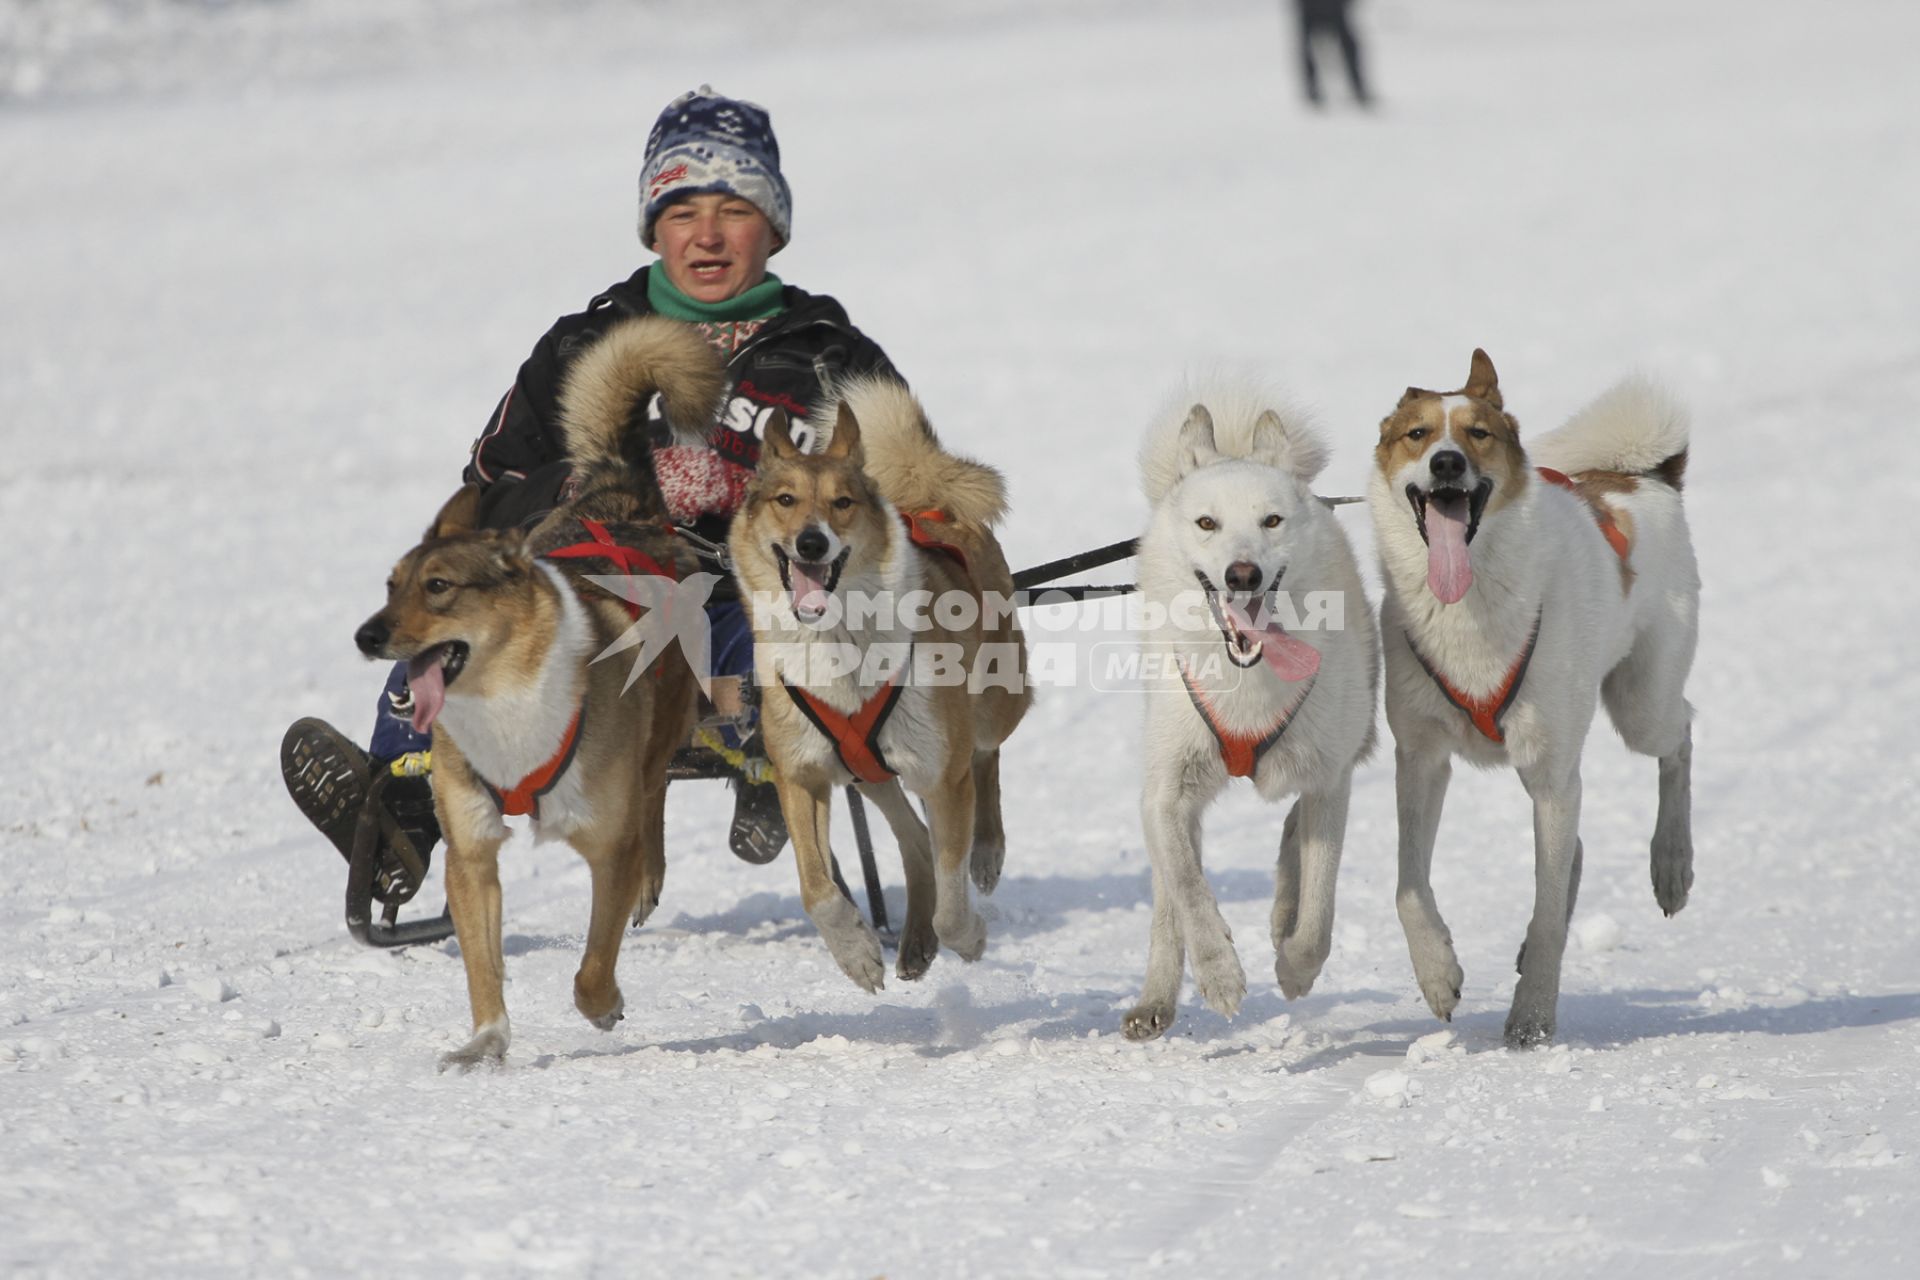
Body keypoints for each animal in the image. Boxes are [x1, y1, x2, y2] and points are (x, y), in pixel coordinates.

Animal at [357, 320, 721, 1074]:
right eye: (391, 585)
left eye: (440, 587)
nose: (365, 635)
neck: (507, 706)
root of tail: (622, 502)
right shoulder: (471, 849)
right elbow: (483, 965)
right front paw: (485, 1041)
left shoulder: (606, 846)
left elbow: (591, 966)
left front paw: (603, 1004)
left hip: (659, 733)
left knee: (655, 795)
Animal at [729, 385, 1036, 997]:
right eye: (784, 499)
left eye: (842, 502)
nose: (811, 542)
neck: (840, 645)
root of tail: (933, 503)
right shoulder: (801, 774)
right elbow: (818, 890)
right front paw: (855, 952)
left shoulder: (943, 779)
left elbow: (952, 904)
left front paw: (969, 936)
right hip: (866, 774)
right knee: (914, 840)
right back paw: (915, 938)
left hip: (991, 706)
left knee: (984, 760)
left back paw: (985, 853)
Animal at [1121, 383, 1382, 1043]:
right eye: (1206, 523)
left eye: (1271, 520)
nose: (1243, 574)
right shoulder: (1164, 792)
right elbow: (1187, 886)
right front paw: (1218, 971)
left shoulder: (1330, 780)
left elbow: (1319, 911)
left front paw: (1293, 966)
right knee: (1168, 891)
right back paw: (1156, 997)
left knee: (1295, 836)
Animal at [1374, 345, 1704, 1043]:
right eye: (1418, 433)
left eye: (1479, 433)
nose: (1447, 462)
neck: (1469, 605)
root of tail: (1644, 477)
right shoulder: (1419, 759)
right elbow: (1409, 886)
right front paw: (1437, 972)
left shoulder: (1551, 774)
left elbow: (1550, 912)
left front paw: (1531, 1019)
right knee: (1573, 848)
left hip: (1641, 707)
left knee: (1681, 736)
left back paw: (1672, 861)